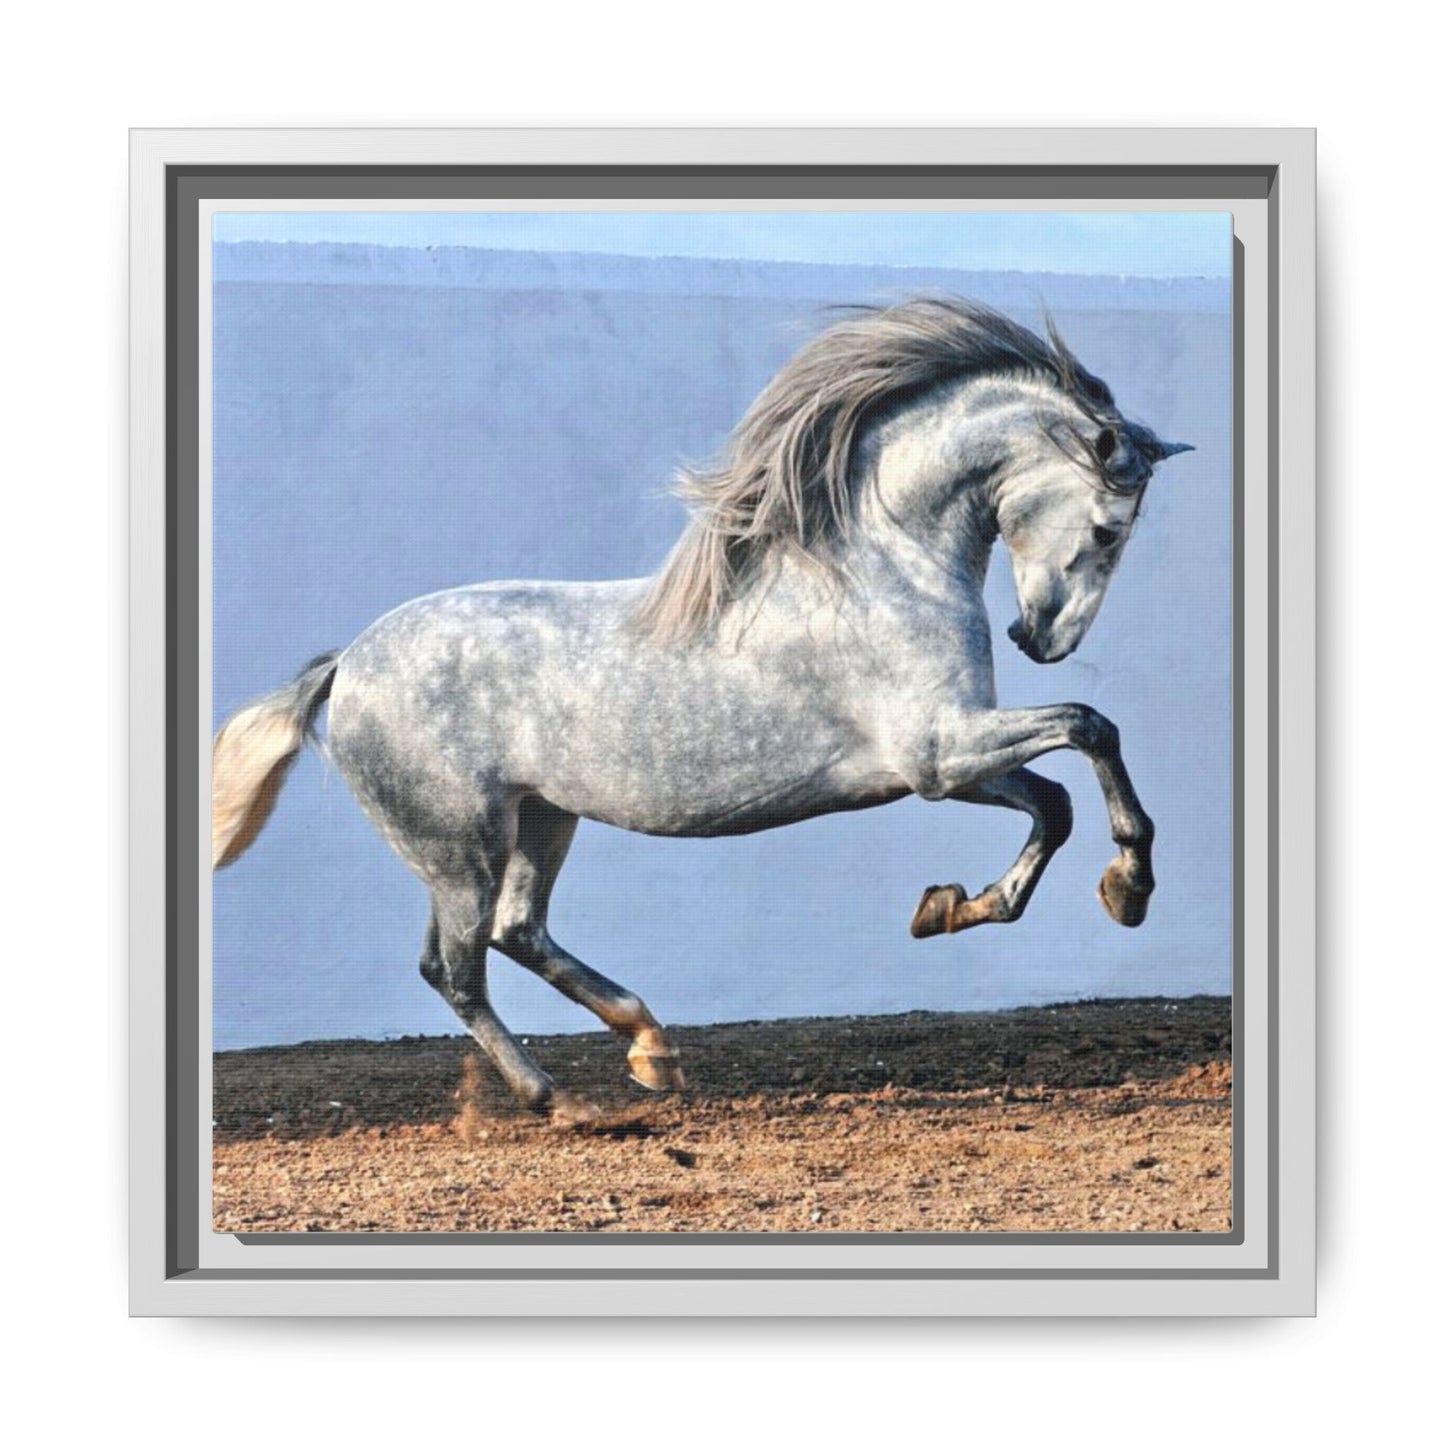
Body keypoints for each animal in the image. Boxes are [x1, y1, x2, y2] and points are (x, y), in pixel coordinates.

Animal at [211, 296, 1192, 1122]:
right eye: (1107, 528)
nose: (1040, 639)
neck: (879, 567)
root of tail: (346, 666)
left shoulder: (937, 764)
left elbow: (1054, 801)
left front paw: (954, 906)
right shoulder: (936, 751)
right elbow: (1089, 727)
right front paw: (1129, 887)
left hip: (541, 819)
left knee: (517, 931)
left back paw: (651, 1047)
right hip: (458, 846)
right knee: (454, 967)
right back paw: (555, 1097)